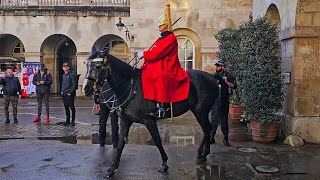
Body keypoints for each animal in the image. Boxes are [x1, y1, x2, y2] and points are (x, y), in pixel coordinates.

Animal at [82, 51, 220, 178]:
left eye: (98, 66)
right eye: (87, 65)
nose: (85, 89)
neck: (130, 87)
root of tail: (213, 78)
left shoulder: (149, 120)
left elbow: (157, 140)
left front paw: (164, 164)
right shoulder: (125, 121)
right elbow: (120, 144)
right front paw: (112, 169)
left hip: (200, 111)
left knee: (207, 129)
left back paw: (203, 154)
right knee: (207, 129)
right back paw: (202, 154)